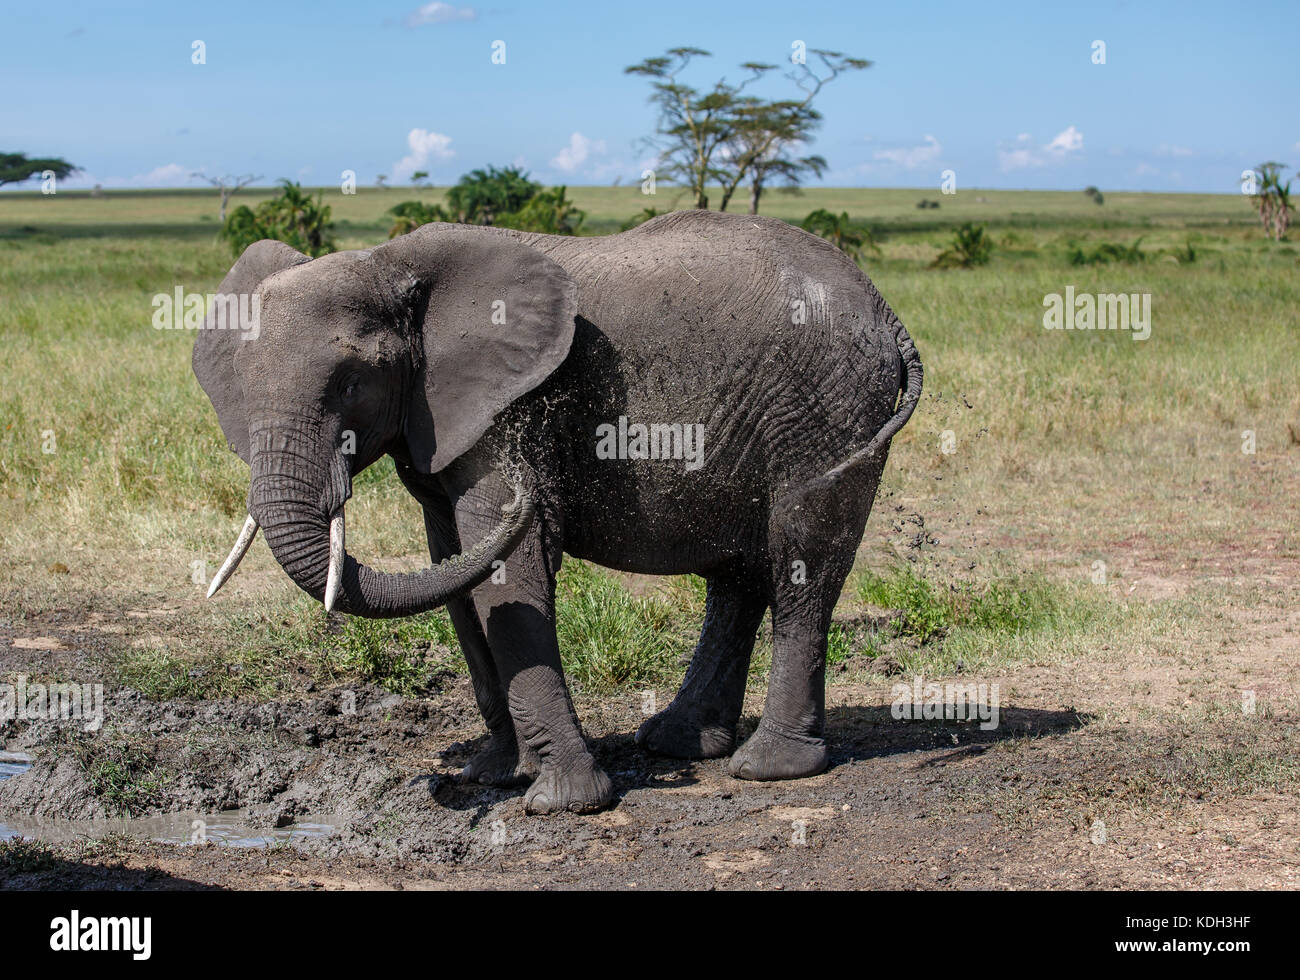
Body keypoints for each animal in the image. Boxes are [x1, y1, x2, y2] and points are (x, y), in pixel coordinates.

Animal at [192, 210, 925, 811]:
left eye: (351, 382)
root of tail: (887, 311)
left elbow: (507, 566)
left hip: (824, 414)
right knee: (740, 577)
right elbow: (454, 568)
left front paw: (562, 803)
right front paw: (492, 775)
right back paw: (677, 743)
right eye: (241, 387)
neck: (389, 263)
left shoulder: (509, 412)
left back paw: (769, 768)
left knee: (801, 561)